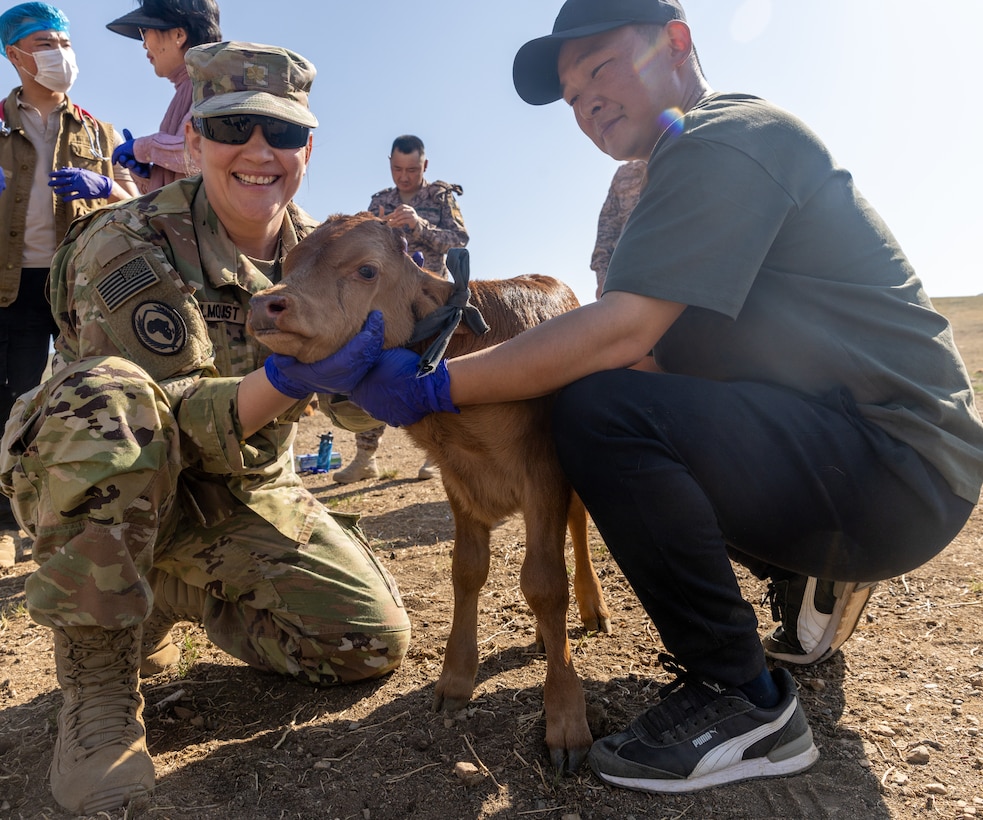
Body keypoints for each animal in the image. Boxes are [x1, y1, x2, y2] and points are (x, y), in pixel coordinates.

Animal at [247, 213, 611, 772]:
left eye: (366, 269)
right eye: (287, 264)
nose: (266, 303)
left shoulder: (543, 474)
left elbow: (545, 585)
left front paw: (566, 718)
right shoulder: (456, 478)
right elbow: (467, 571)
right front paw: (455, 680)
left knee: (577, 530)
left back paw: (590, 610)